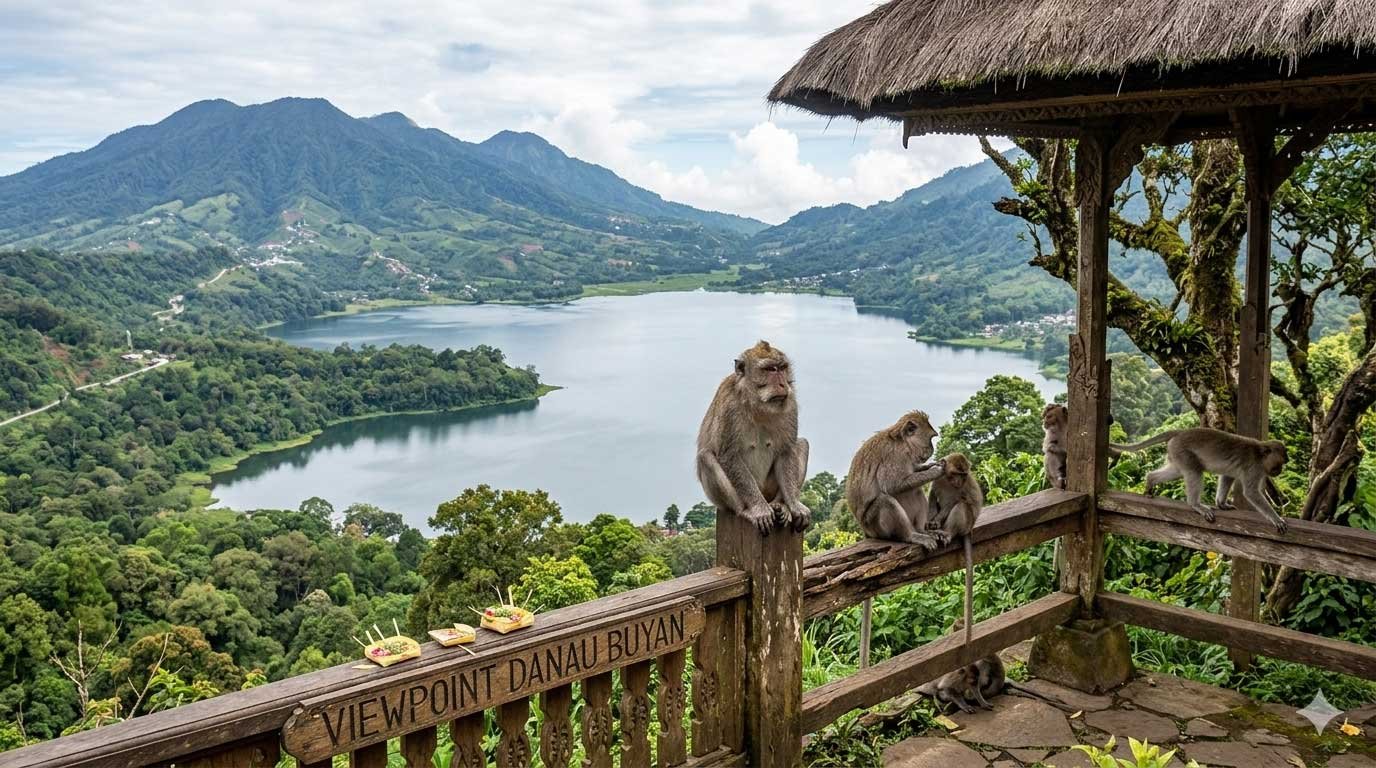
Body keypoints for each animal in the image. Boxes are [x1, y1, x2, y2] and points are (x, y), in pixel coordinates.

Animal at [696, 341, 811, 535]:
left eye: (782, 368)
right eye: (770, 370)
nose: (783, 384)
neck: (758, 406)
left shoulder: (791, 405)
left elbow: (786, 452)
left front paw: (793, 505)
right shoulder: (729, 408)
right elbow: (729, 456)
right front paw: (759, 509)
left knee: (802, 444)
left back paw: (781, 505)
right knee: (705, 457)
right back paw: (745, 510)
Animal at [927, 453, 984, 647]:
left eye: (964, 474)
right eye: (956, 473)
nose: (960, 481)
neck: (948, 481)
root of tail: (969, 530)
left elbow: (954, 502)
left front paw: (937, 523)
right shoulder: (938, 478)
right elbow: (932, 496)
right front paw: (931, 522)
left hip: (967, 522)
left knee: (962, 505)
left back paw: (946, 533)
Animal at [1111, 427, 1289, 533]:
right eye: (1281, 462)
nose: (1280, 470)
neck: (1260, 454)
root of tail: (1180, 432)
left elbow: (1227, 476)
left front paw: (1221, 504)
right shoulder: (1255, 469)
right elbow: (1251, 493)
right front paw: (1276, 519)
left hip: (1176, 453)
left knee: (1176, 472)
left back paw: (1150, 481)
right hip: (1183, 452)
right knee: (1195, 472)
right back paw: (1195, 505)